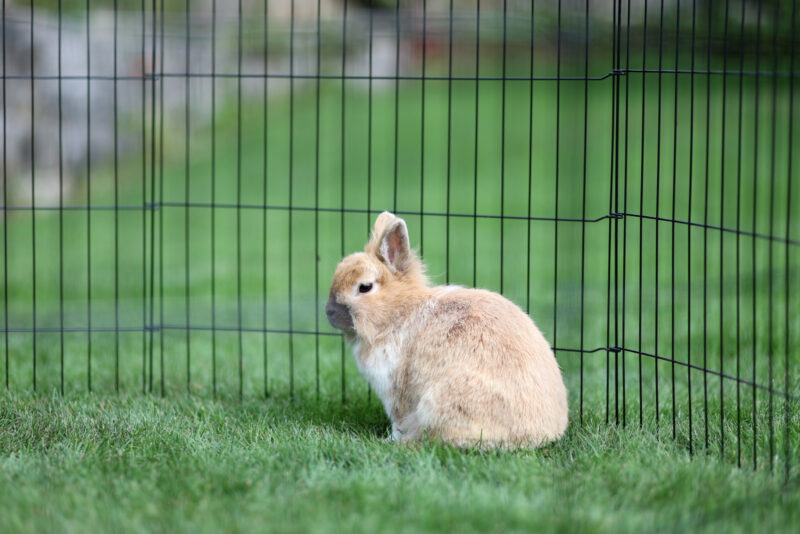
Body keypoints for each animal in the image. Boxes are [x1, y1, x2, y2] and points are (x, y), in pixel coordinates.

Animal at [326, 211, 568, 450]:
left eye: (365, 287)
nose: (329, 312)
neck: (397, 312)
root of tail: (542, 434)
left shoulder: (396, 391)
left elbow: (398, 422)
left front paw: (390, 440)